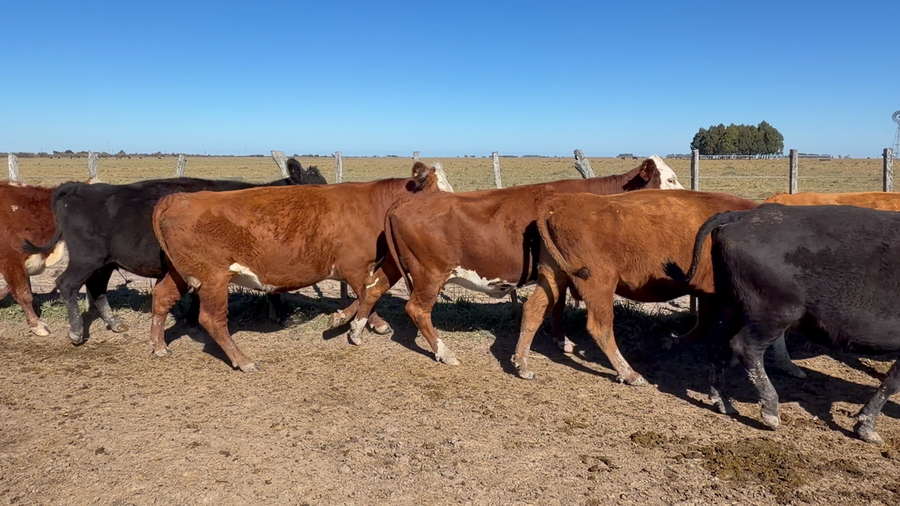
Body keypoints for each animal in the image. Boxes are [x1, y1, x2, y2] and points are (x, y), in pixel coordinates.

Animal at [21, 159, 326, 345]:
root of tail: (76, 188)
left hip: (105, 262)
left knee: (97, 289)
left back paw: (115, 323)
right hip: (87, 257)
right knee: (67, 284)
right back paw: (75, 331)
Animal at [149, 162, 450, 372]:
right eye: (437, 194)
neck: (373, 205)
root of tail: (177, 198)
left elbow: (367, 293)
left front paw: (356, 320)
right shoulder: (354, 266)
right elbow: (366, 293)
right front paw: (356, 321)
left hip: (181, 273)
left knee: (161, 297)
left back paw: (158, 345)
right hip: (214, 278)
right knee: (212, 320)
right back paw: (243, 360)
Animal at [385, 156, 684, 366]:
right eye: (670, 179)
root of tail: (405, 204)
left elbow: (558, 305)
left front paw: (560, 339)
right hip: (430, 275)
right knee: (417, 310)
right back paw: (446, 353)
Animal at [511, 190, 757, 384]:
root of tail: (557, 203)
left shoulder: (708, 294)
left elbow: (704, 321)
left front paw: (676, 341)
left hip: (553, 276)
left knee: (533, 309)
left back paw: (522, 365)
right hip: (599, 283)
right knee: (600, 327)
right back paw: (630, 374)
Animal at [667, 204, 900, 444]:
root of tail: (743, 215)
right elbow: (892, 383)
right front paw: (867, 428)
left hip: (729, 306)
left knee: (716, 345)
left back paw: (723, 401)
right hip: (774, 315)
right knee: (745, 348)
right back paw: (770, 412)